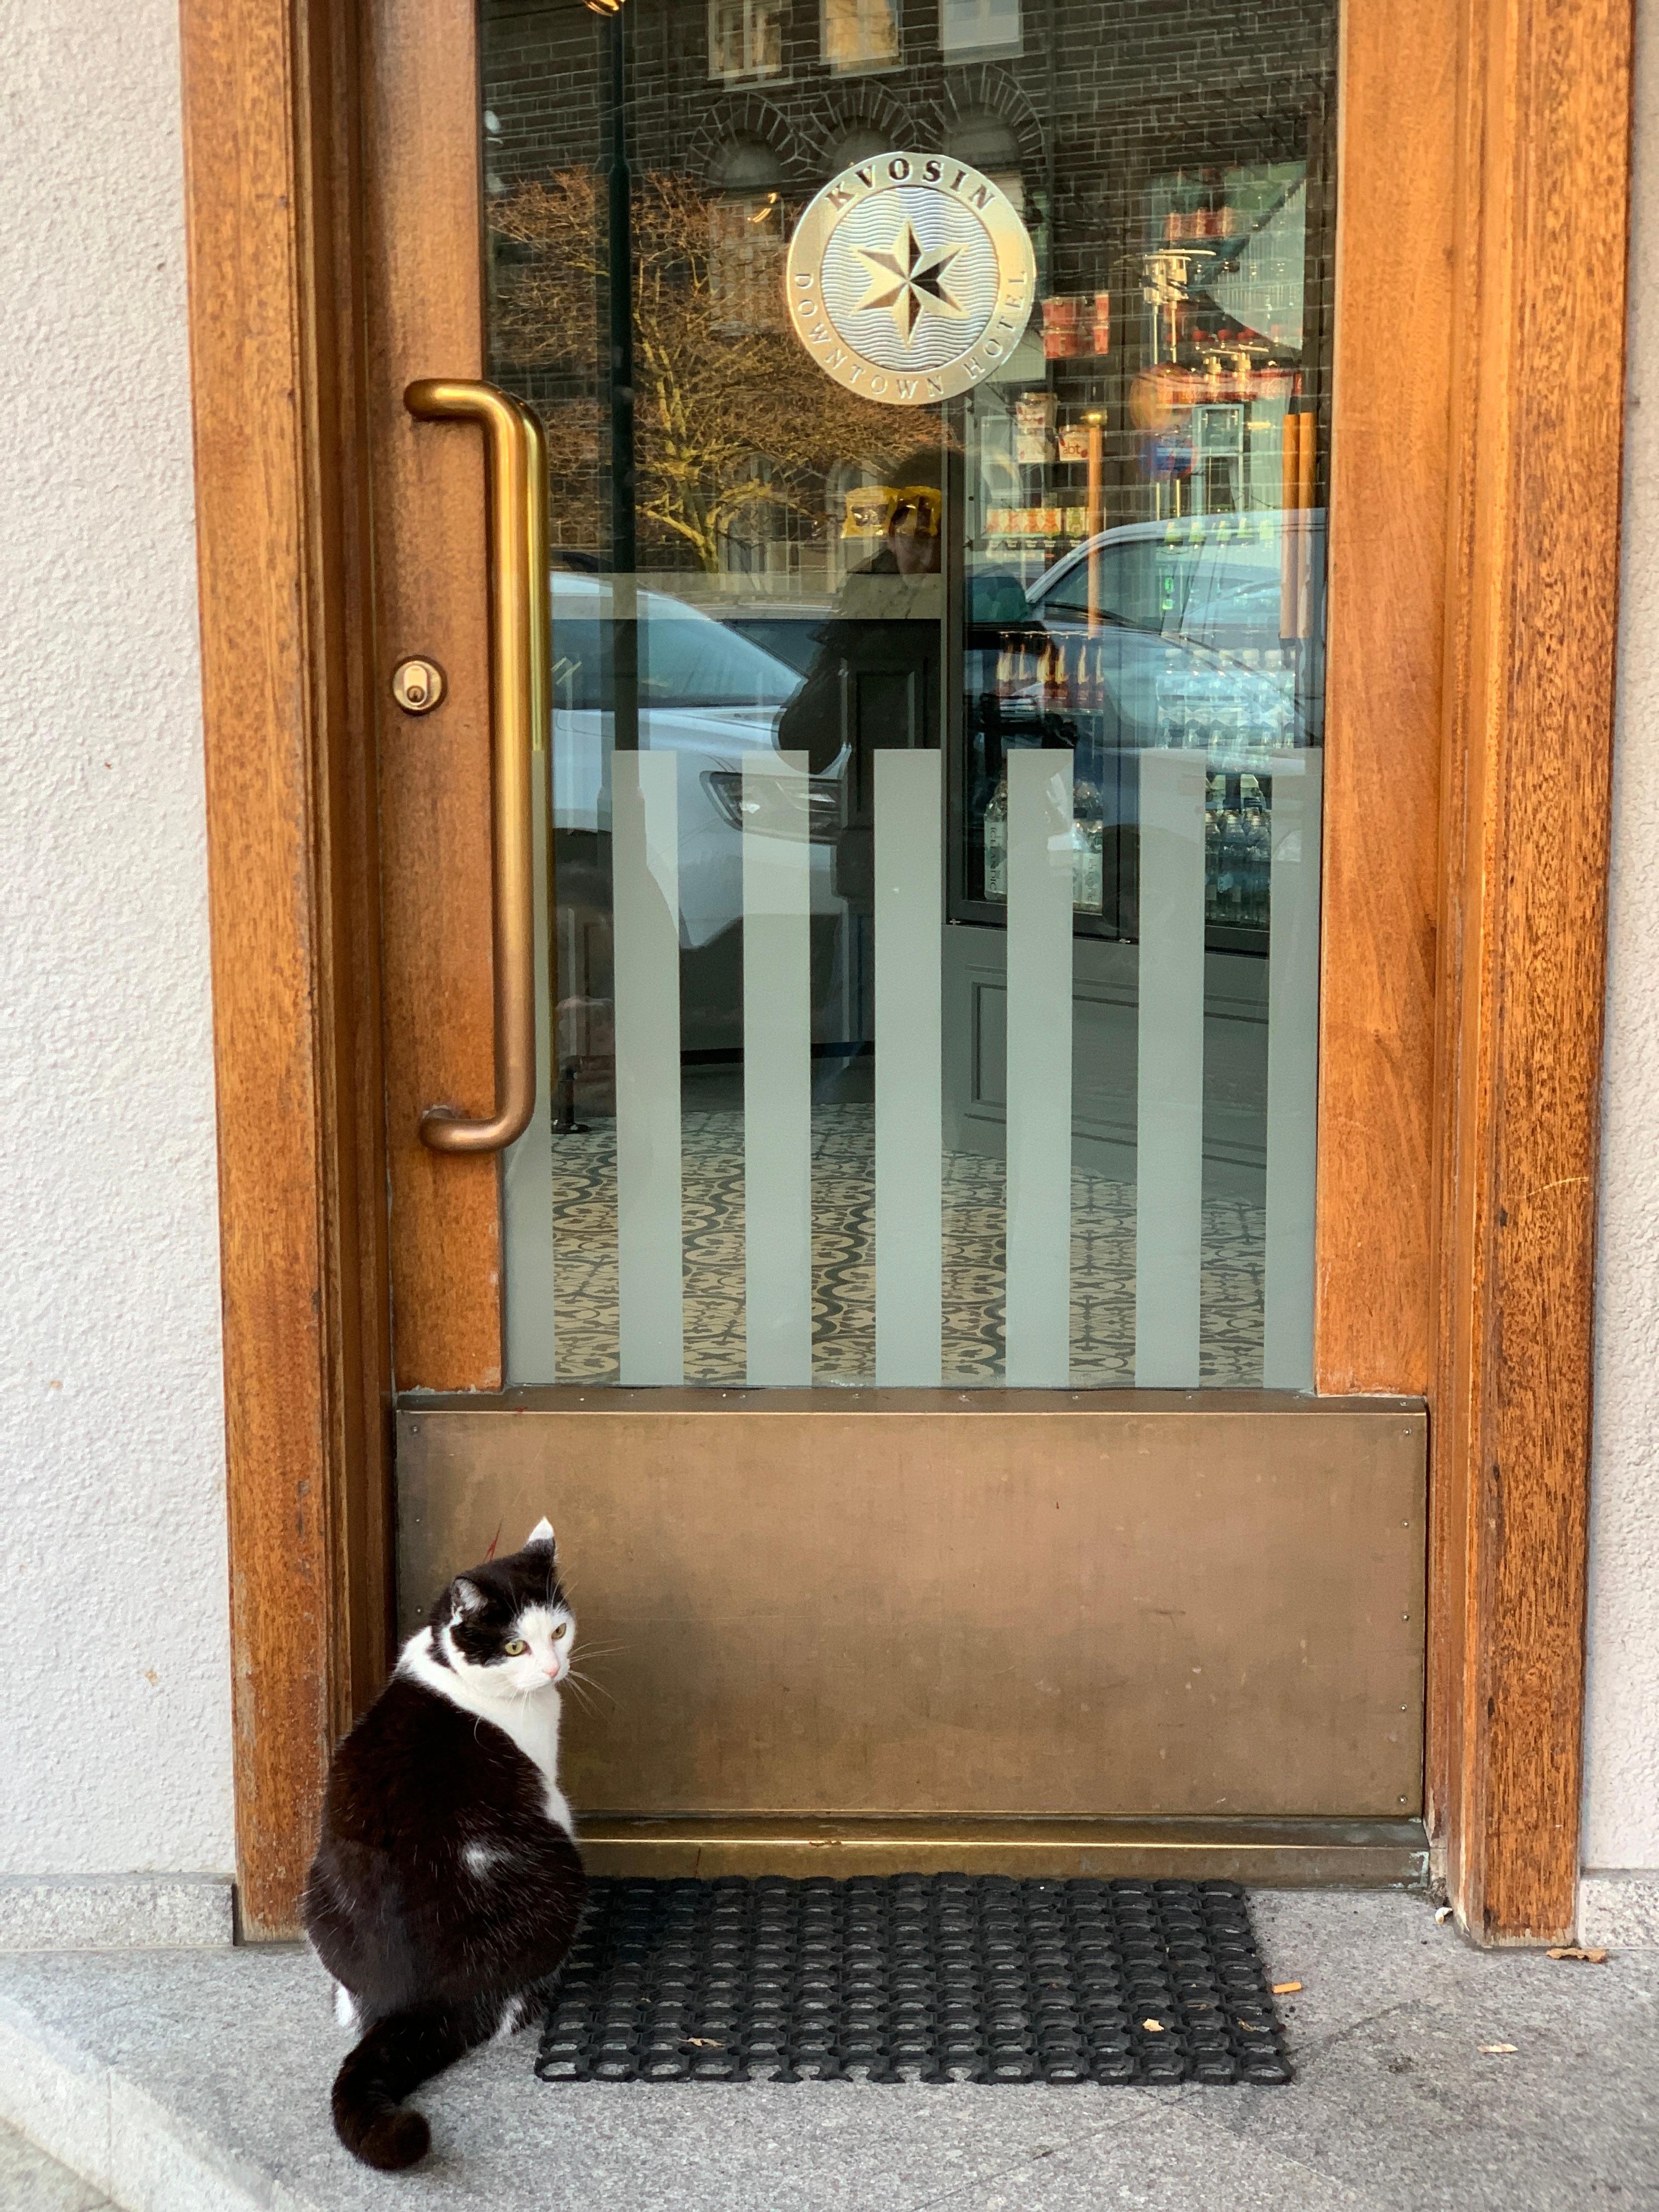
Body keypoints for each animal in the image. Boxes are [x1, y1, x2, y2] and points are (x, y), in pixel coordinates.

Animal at [302, 1518, 586, 2170]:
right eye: (515, 1647)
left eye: (559, 1630)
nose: (553, 1670)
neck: (445, 1663)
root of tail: (416, 2003)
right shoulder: (551, 1788)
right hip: (562, 1864)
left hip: (317, 1888)